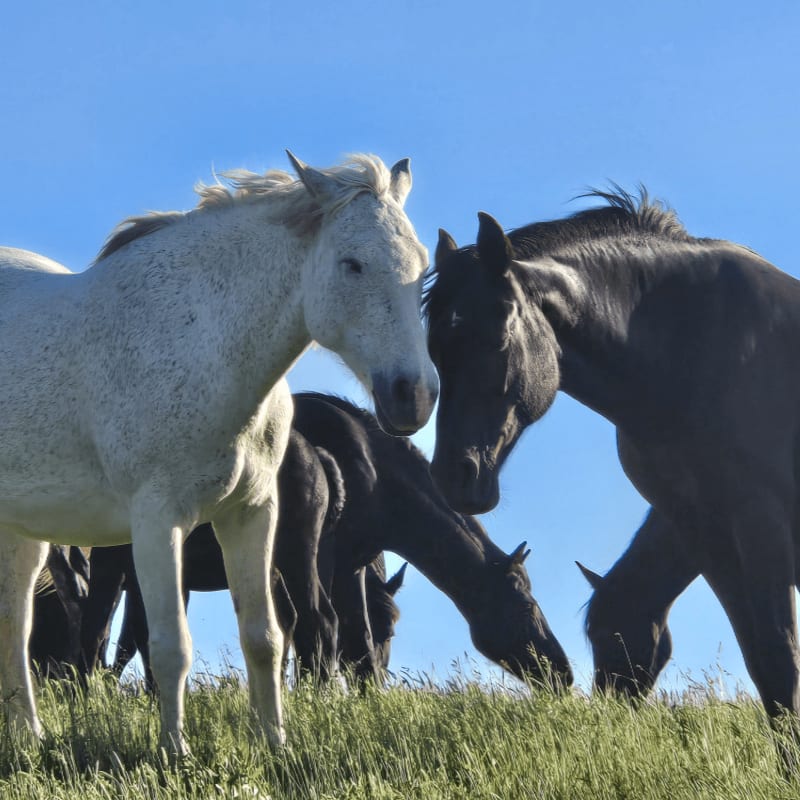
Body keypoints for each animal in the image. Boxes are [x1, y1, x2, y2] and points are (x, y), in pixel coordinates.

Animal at [0, 151, 437, 753]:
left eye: (423, 266)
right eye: (352, 264)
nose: (413, 395)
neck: (200, 341)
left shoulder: (251, 514)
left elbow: (264, 637)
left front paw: (275, 742)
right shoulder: (156, 522)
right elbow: (167, 645)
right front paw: (174, 751)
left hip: (23, 534)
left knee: (15, 625)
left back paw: (29, 737)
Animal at [424, 188, 800, 723]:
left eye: (496, 338)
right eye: (435, 348)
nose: (455, 476)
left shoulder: (760, 524)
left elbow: (781, 657)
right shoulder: (705, 532)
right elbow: (765, 667)